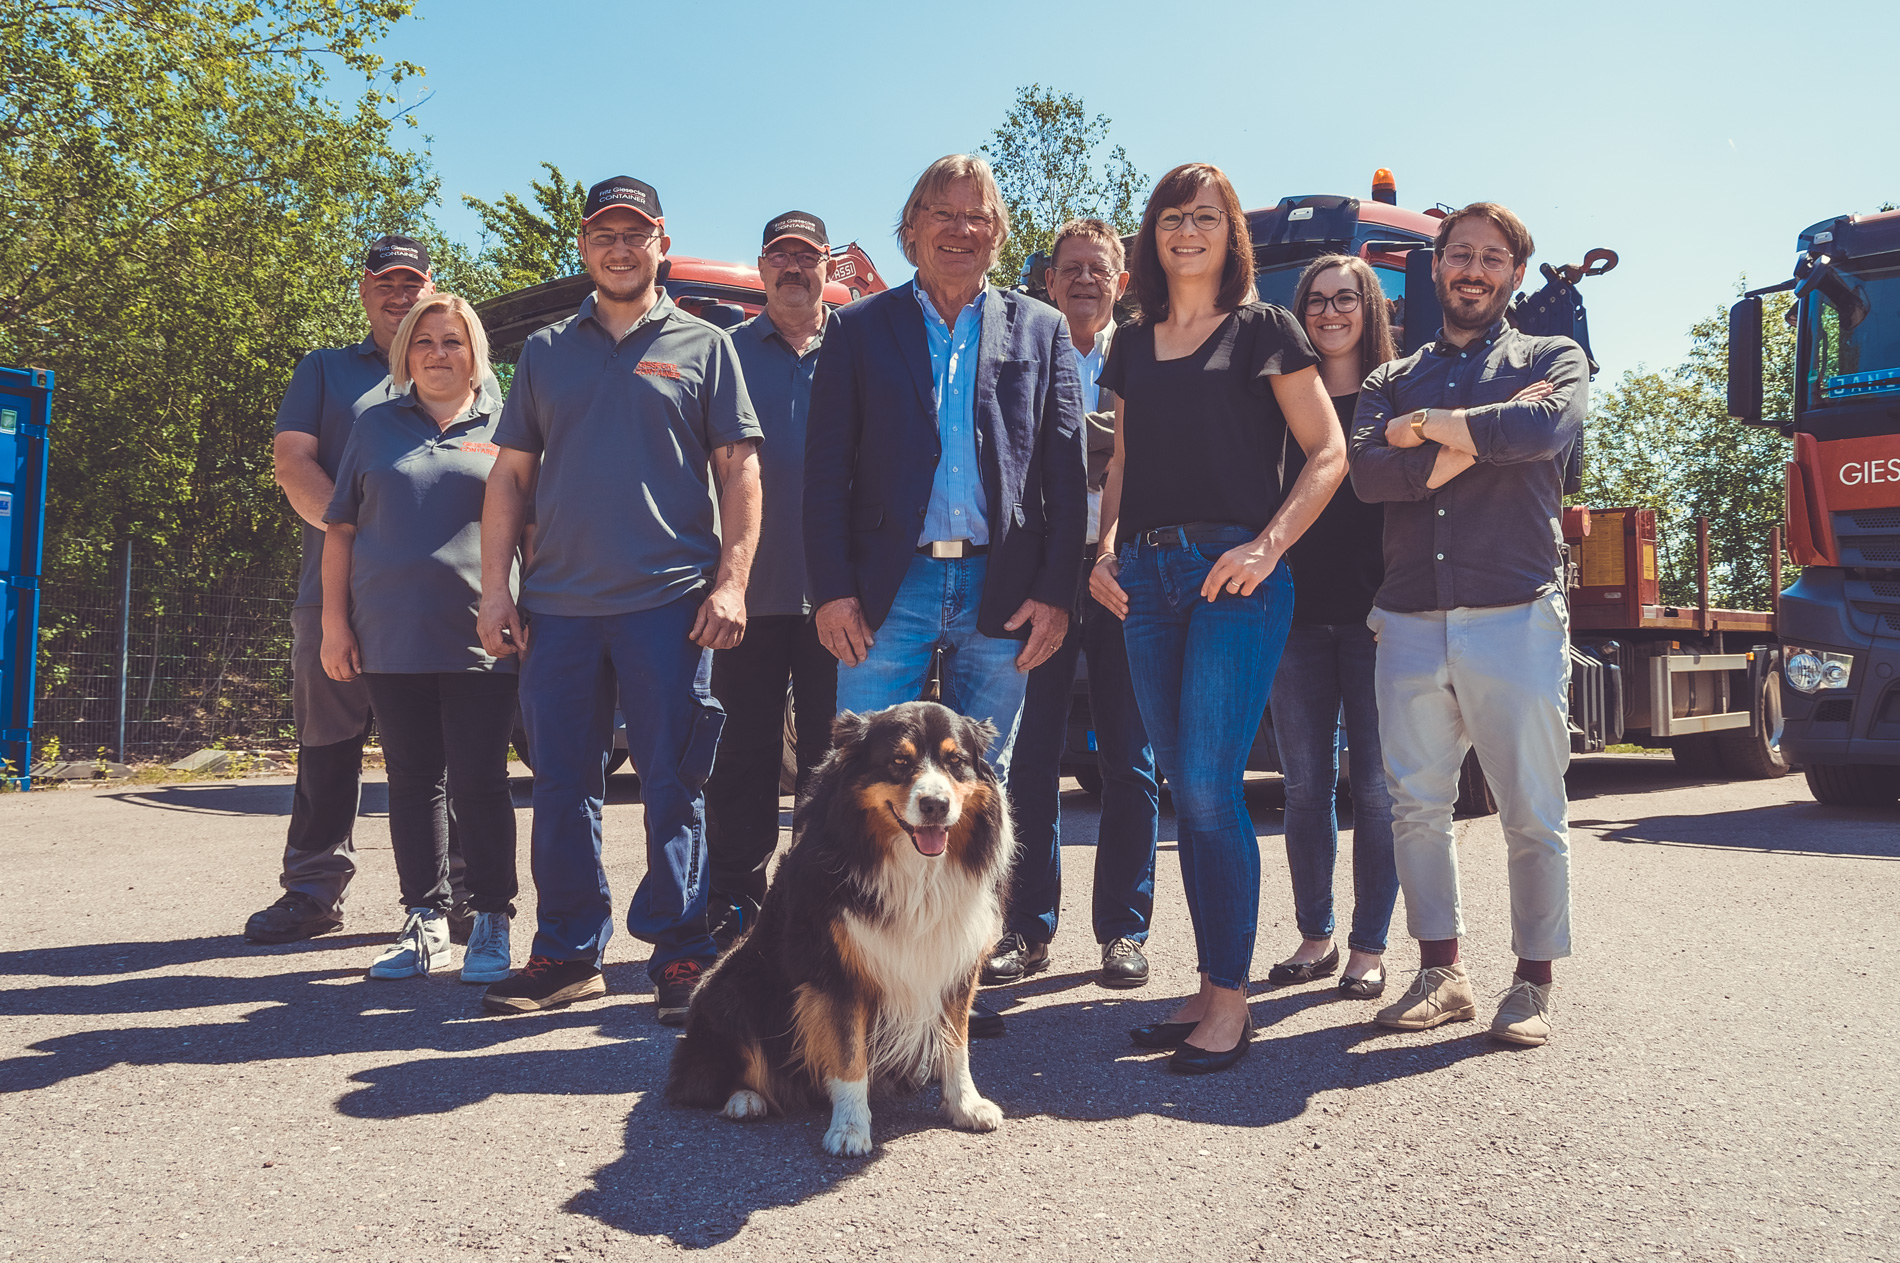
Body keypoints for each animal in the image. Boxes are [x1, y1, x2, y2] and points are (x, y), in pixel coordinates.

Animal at [665, 698, 1010, 1154]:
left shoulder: (953, 961)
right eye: (898, 762)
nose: (935, 804)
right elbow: (848, 1056)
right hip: (731, 986)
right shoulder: (836, 972)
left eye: (956, 762)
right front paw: (849, 1129)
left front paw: (965, 1105)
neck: (914, 870)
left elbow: (957, 1044)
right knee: (710, 1074)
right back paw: (745, 1099)